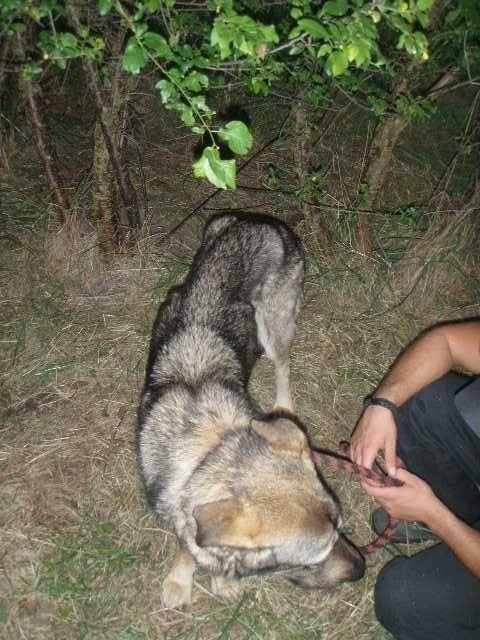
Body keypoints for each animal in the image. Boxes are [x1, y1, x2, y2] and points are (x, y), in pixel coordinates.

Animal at [137, 212, 362, 608]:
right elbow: (188, 547)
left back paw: (285, 404)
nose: (363, 569)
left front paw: (219, 581)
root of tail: (257, 222)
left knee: (282, 365)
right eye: (307, 562)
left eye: (340, 526)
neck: (209, 451)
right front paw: (182, 580)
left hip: (274, 328)